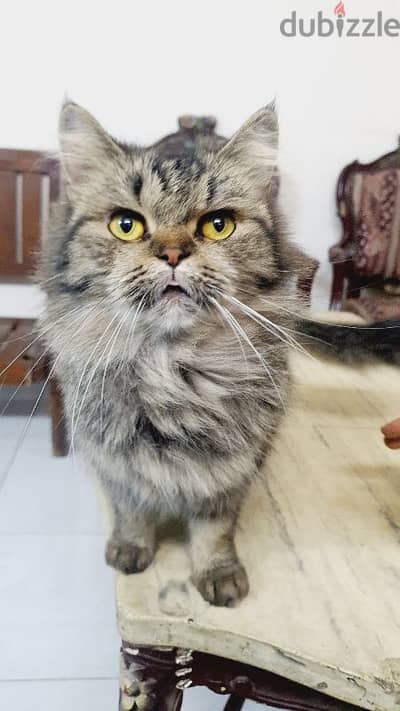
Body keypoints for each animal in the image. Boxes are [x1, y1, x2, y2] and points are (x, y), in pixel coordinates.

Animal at [39, 101, 304, 608]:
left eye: (218, 225)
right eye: (126, 225)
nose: (173, 253)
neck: (170, 367)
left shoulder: (232, 470)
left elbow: (214, 531)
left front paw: (218, 576)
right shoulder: (115, 464)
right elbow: (132, 511)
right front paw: (130, 550)